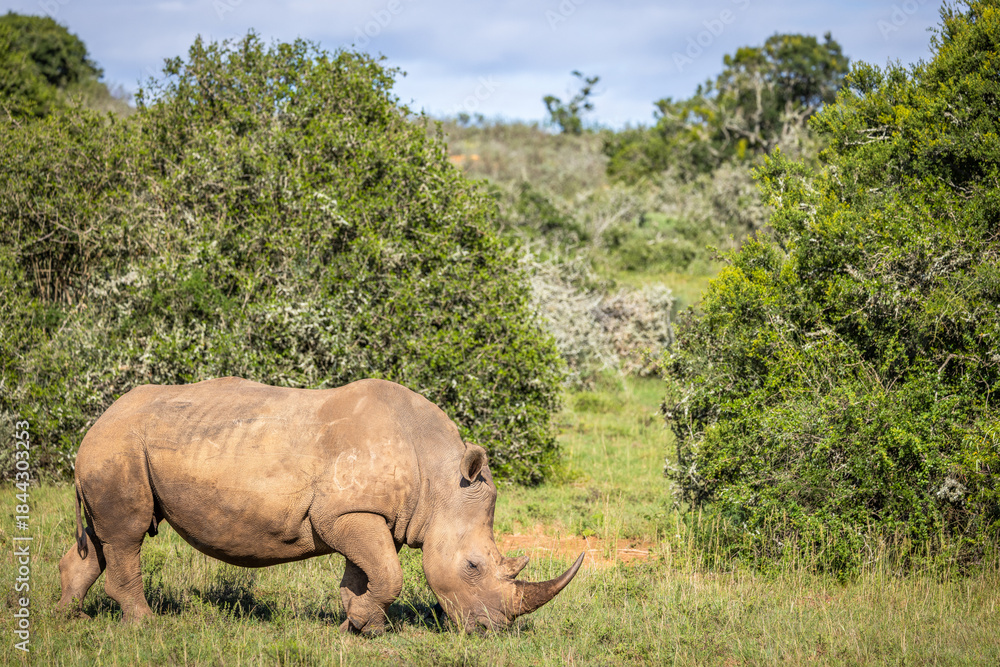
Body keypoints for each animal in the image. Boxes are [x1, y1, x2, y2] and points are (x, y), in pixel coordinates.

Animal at [57, 377, 583, 633]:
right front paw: (366, 622)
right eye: (473, 566)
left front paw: (359, 623)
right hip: (119, 445)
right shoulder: (345, 514)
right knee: (126, 534)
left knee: (102, 540)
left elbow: (365, 572)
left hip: (118, 446)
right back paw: (145, 627)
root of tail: (96, 422)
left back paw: (70, 618)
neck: (440, 479)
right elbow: (388, 574)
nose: (490, 630)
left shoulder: (370, 516)